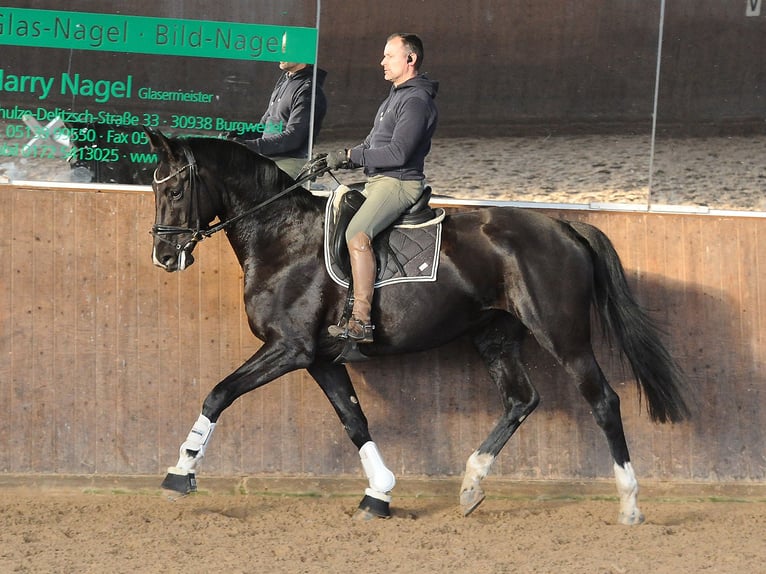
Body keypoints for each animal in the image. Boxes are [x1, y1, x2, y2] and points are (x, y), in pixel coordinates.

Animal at [146, 132, 688, 528]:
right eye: (154, 189)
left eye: (174, 190)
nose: (164, 257)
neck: (283, 237)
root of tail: (564, 227)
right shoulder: (320, 358)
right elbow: (354, 421)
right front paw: (379, 494)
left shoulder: (289, 349)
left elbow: (219, 393)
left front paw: (181, 472)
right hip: (495, 336)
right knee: (521, 399)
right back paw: (471, 485)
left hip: (563, 336)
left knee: (603, 402)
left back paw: (629, 505)